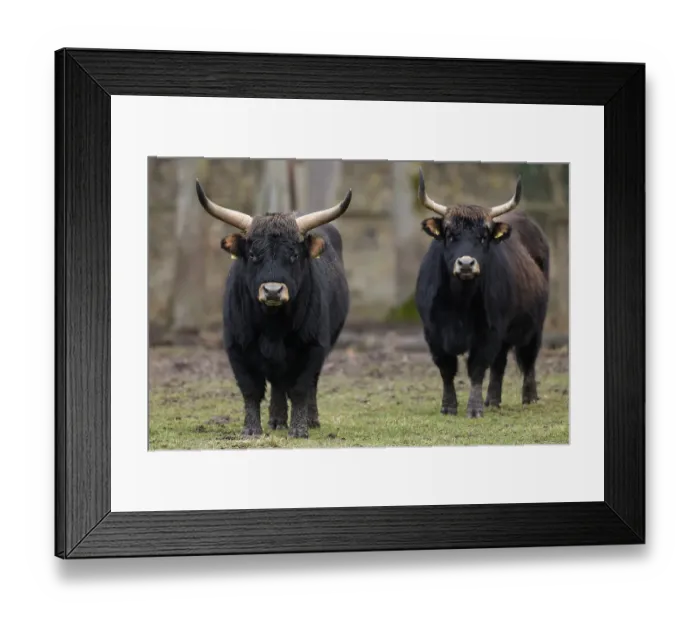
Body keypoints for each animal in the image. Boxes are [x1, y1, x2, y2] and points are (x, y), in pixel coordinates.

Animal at [195, 179, 353, 439]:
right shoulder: (236, 348)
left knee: (309, 384)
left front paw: (299, 429)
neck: (273, 327)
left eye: (294, 254)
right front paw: (251, 429)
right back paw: (277, 420)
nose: (272, 291)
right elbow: (250, 389)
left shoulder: (313, 347)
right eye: (252, 254)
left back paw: (310, 419)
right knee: (278, 382)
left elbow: (300, 388)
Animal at [414, 167, 550, 419]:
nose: (466, 264)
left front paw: (474, 408)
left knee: (528, 359)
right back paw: (493, 400)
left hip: (535, 325)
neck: (459, 302)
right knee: (500, 364)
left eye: (484, 236)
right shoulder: (433, 333)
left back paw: (529, 397)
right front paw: (448, 406)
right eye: (450, 234)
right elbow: (446, 369)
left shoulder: (489, 331)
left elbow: (477, 369)